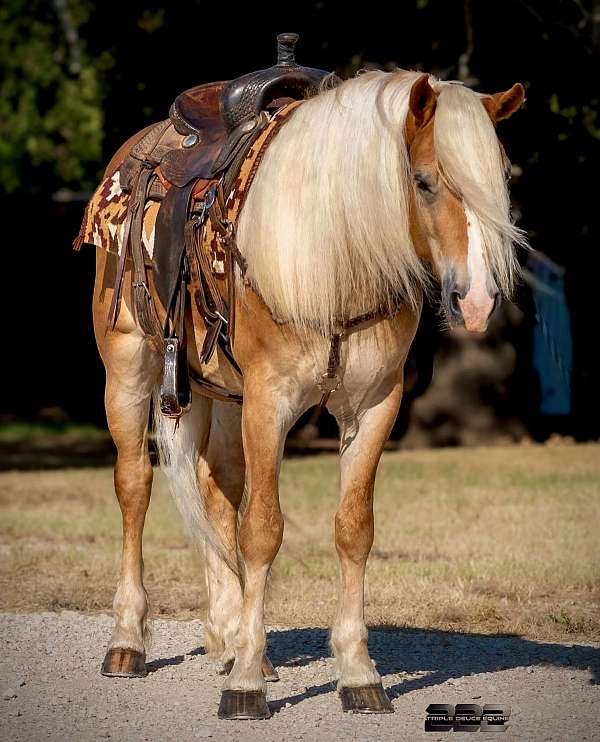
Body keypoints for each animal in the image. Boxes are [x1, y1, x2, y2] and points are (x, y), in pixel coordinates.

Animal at [91, 68, 526, 718]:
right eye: (424, 181)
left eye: (499, 182)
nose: (476, 302)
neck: (335, 257)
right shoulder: (269, 403)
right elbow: (263, 530)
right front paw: (246, 683)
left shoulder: (374, 407)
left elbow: (353, 528)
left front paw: (356, 672)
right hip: (129, 368)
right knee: (134, 487)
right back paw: (129, 643)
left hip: (221, 395)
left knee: (217, 488)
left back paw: (227, 635)